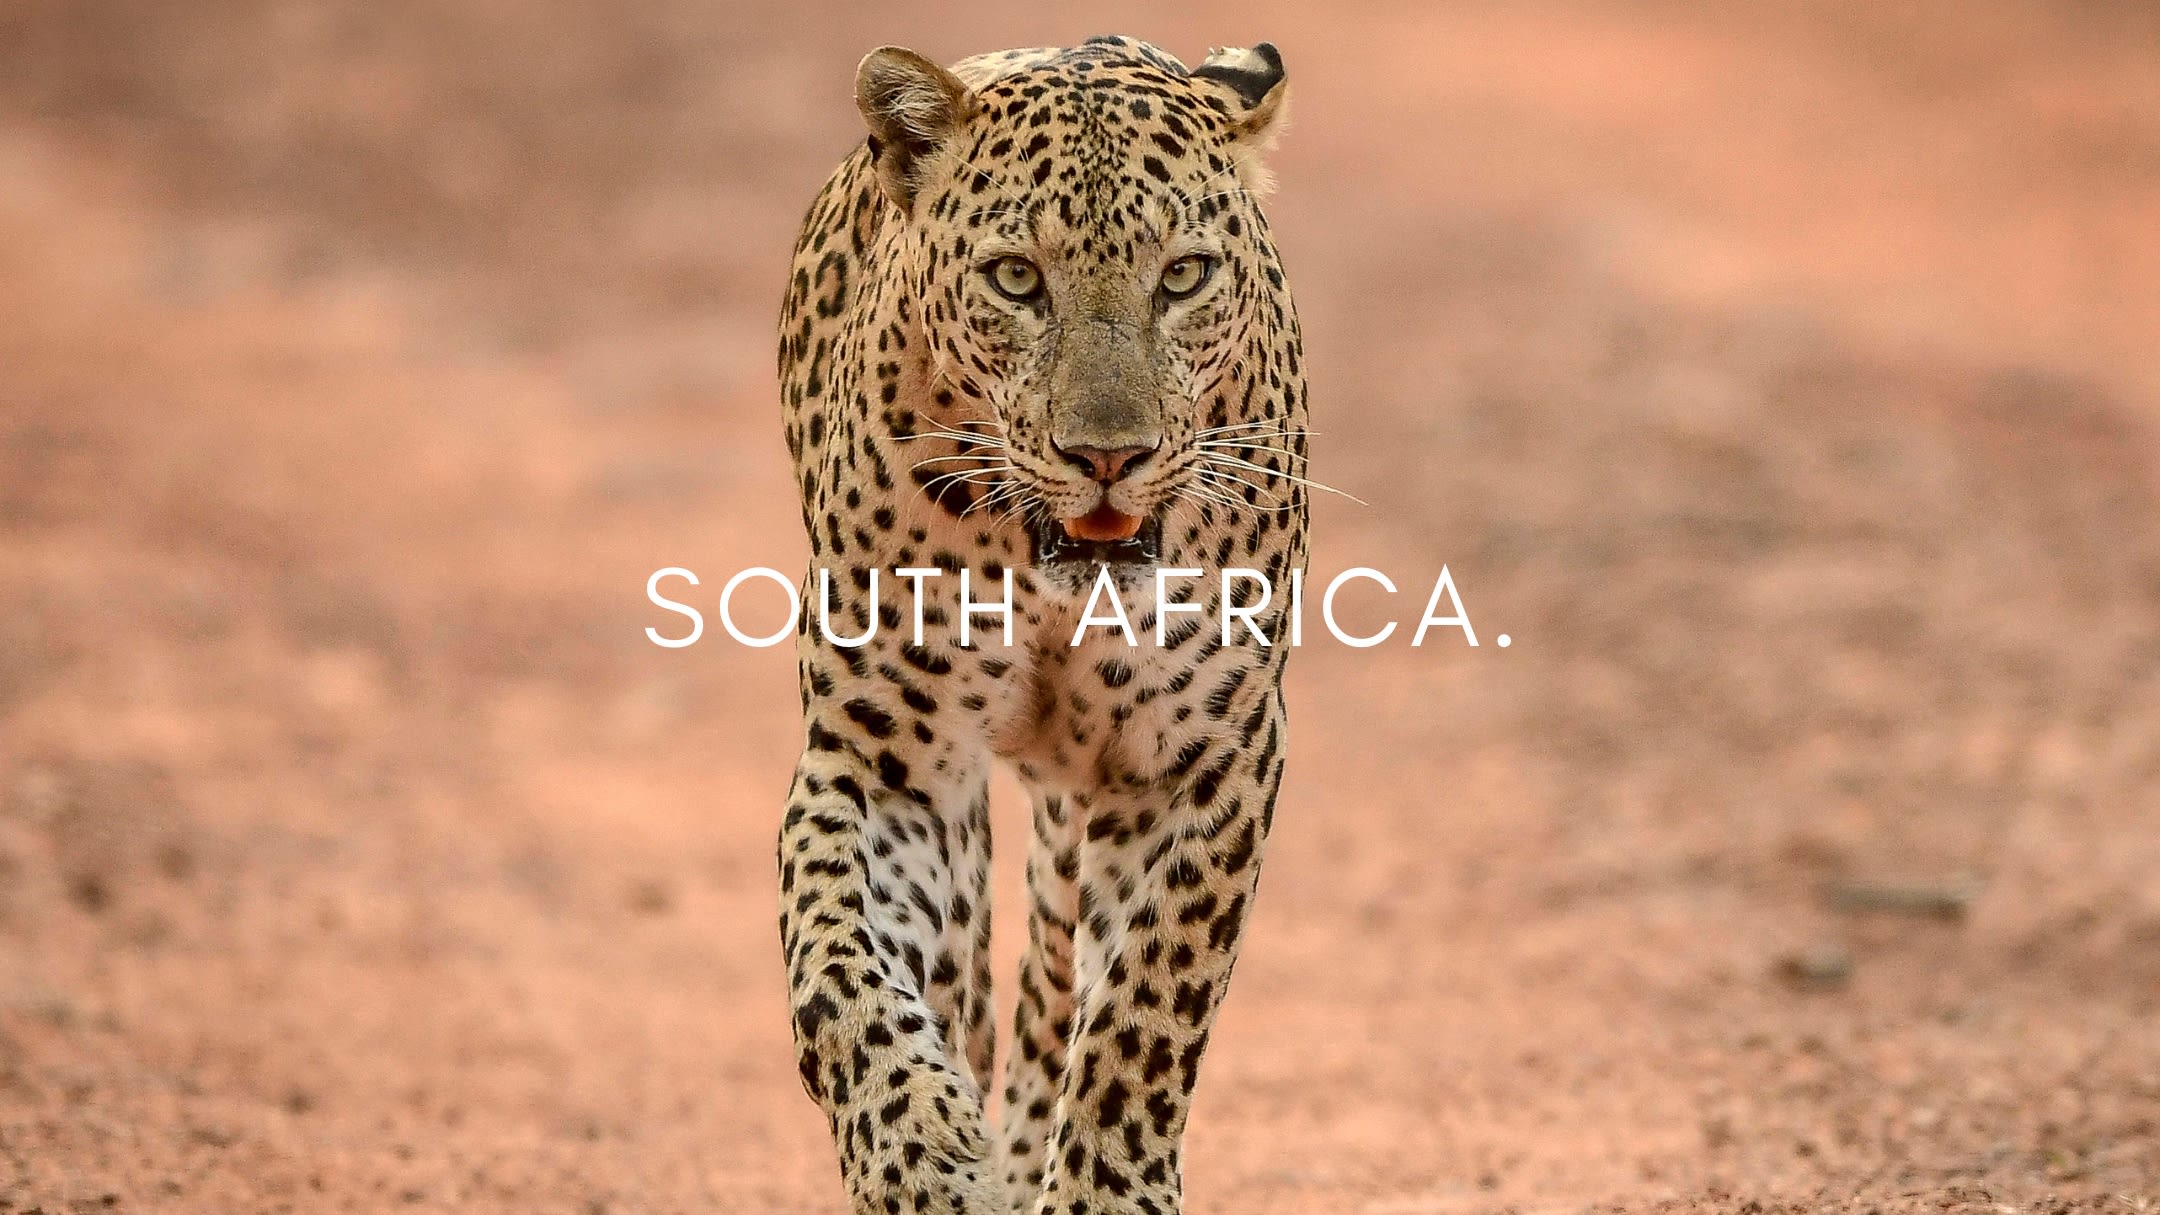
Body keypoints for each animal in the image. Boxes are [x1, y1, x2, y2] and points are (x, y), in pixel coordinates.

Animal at [773, 34, 1308, 1215]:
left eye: (1183, 276)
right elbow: (839, 971)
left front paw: (1104, 1189)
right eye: (1017, 278)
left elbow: (1146, 1003)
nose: (1108, 455)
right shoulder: (886, 761)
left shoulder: (1205, 757)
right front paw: (921, 1158)